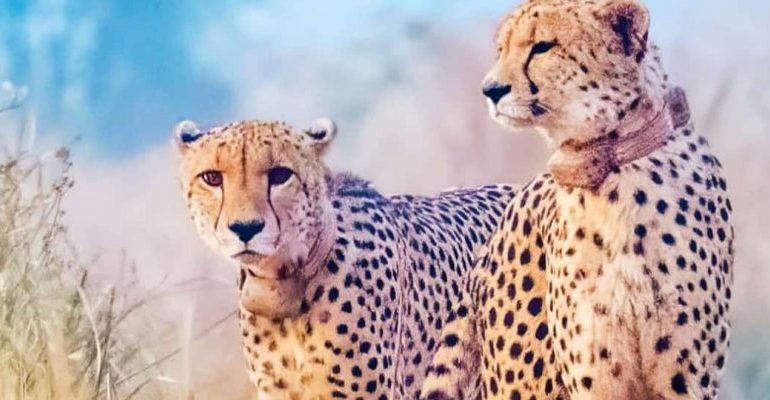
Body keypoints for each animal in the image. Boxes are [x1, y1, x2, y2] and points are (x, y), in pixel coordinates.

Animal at [421, 0, 734, 399]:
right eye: (501, 49)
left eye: (542, 46)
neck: (612, 168)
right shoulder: (594, 377)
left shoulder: (687, 379)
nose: (490, 90)